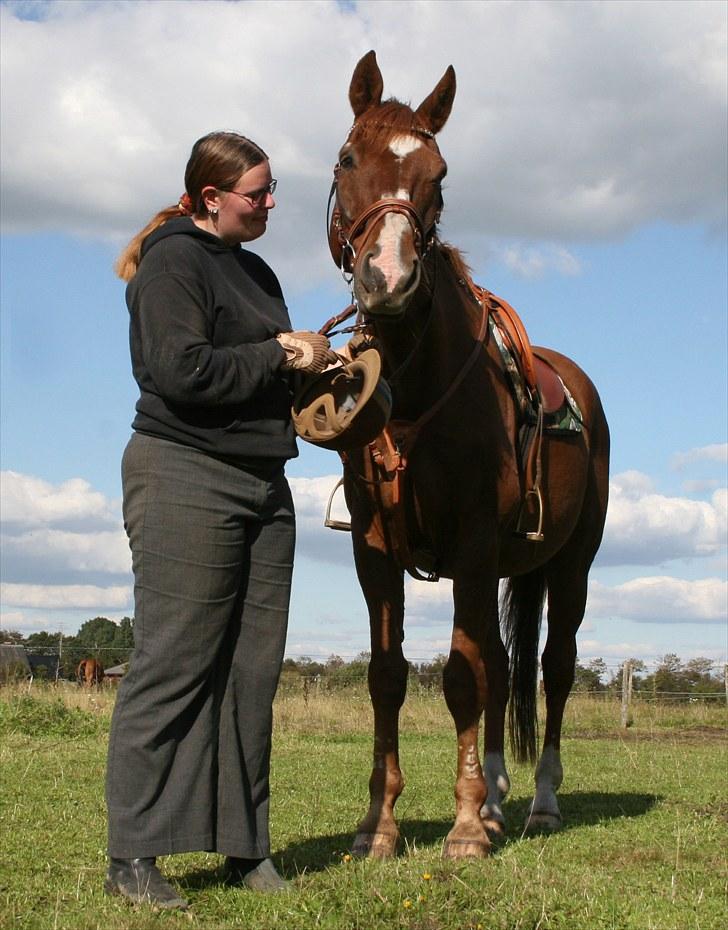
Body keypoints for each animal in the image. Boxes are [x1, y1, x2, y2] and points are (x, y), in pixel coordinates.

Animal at [328, 52, 608, 864]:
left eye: (440, 174)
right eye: (347, 158)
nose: (388, 279)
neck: (417, 387)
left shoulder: (475, 546)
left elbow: (459, 678)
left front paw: (460, 829)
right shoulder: (374, 552)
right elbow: (389, 678)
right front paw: (380, 825)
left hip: (569, 568)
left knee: (552, 670)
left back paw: (539, 801)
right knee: (504, 669)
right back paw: (497, 801)